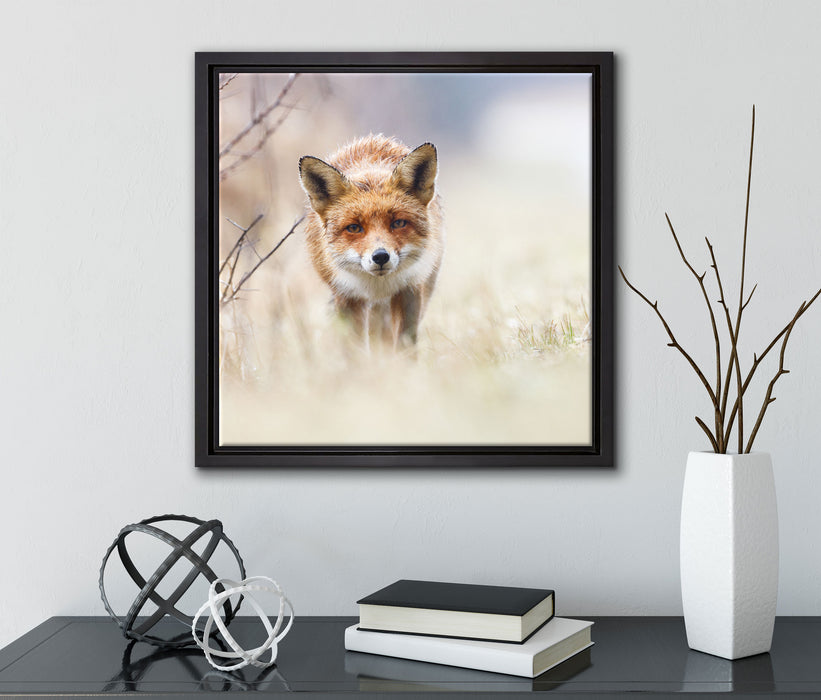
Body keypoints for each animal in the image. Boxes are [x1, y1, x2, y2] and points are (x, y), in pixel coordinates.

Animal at [298, 134, 444, 350]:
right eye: (354, 228)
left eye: (398, 223)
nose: (381, 256)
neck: (378, 286)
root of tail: (372, 138)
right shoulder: (347, 296)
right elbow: (354, 349)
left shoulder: (410, 290)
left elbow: (405, 344)